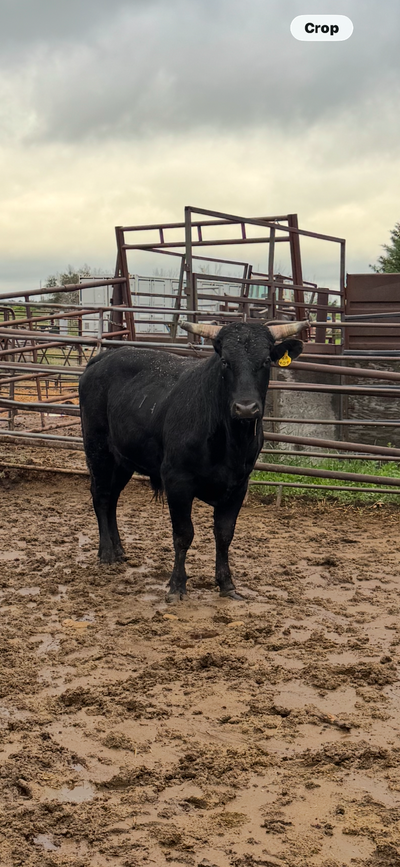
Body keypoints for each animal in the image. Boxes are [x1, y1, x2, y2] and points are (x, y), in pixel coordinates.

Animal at [79, 319, 306, 601]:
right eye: (225, 361)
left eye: (265, 361)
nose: (246, 408)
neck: (230, 442)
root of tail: (103, 358)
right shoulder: (177, 481)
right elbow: (183, 534)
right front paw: (177, 585)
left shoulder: (239, 485)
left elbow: (224, 534)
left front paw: (227, 584)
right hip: (98, 448)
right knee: (100, 496)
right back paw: (107, 553)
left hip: (122, 460)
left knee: (112, 498)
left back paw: (119, 550)